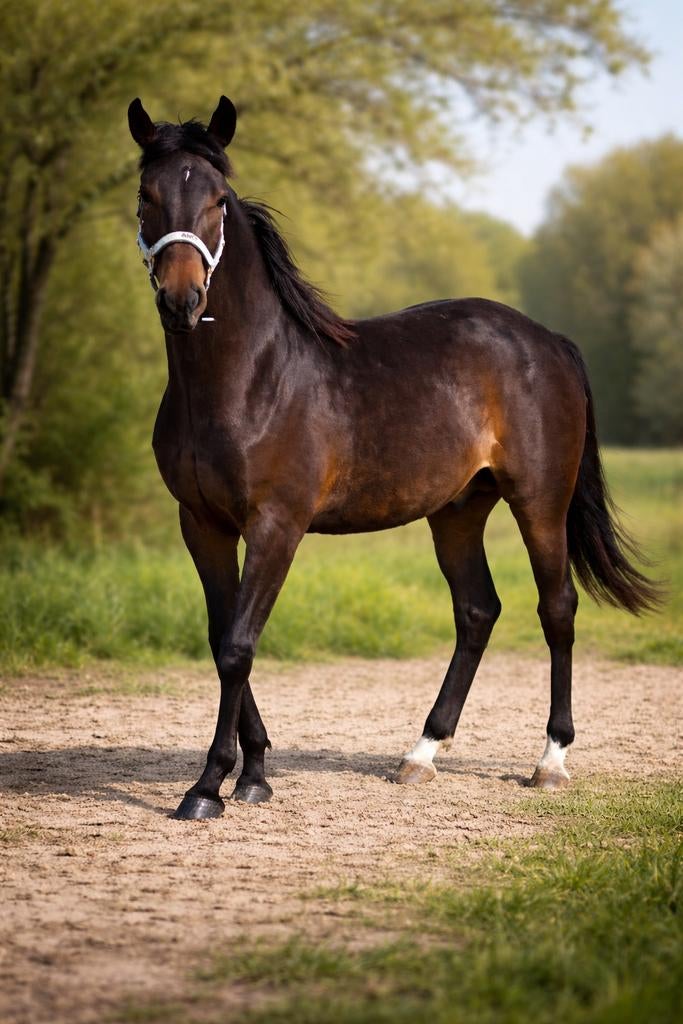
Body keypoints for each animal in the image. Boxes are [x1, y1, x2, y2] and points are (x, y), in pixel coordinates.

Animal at [127, 95, 660, 820]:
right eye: (146, 195)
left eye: (216, 200)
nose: (182, 301)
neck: (250, 378)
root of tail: (547, 340)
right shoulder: (201, 524)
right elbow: (221, 639)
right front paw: (254, 772)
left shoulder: (276, 525)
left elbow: (238, 645)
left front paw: (209, 786)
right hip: (458, 510)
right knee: (477, 611)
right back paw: (421, 754)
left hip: (539, 502)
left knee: (557, 608)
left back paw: (550, 760)